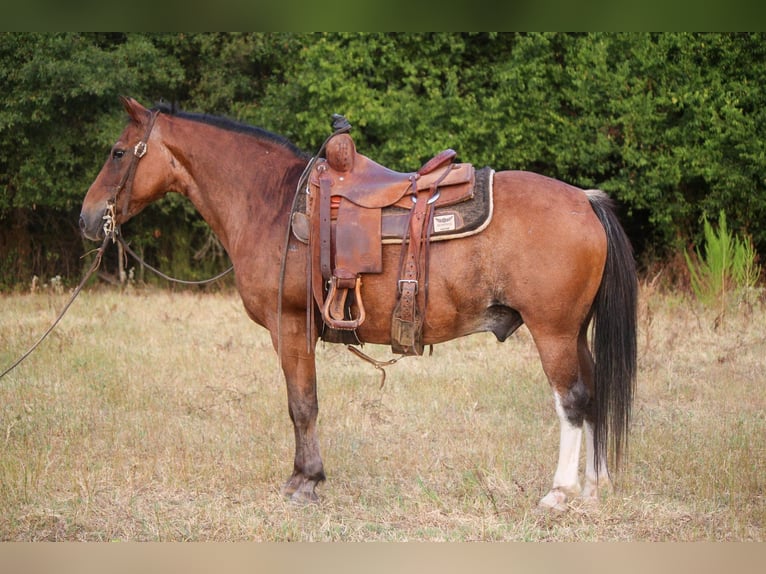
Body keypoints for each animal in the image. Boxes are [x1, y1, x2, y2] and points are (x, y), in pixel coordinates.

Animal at [81, 98, 640, 512]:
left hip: (553, 332)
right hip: (575, 332)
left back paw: (560, 493)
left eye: (117, 152)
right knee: (594, 394)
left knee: (572, 400)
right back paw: (596, 487)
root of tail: (585, 199)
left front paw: (305, 481)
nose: (87, 218)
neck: (272, 203)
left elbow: (302, 404)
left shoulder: (290, 327)